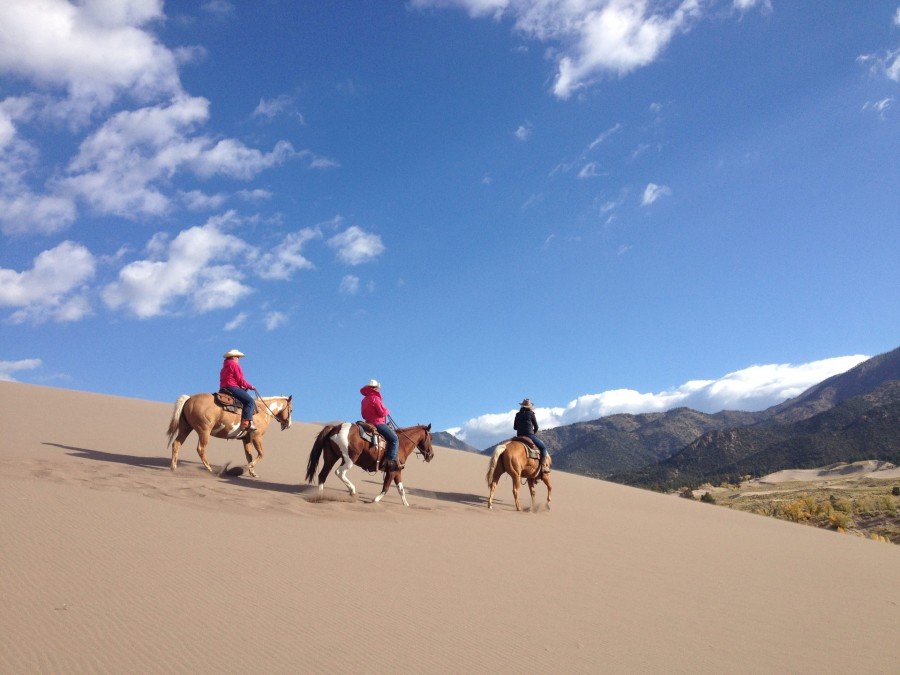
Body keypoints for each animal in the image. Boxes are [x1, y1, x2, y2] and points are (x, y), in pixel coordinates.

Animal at [304, 422, 434, 508]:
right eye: (431, 438)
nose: (431, 455)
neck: (401, 444)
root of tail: (335, 427)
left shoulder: (397, 471)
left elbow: (400, 489)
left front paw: (406, 504)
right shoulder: (392, 470)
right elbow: (386, 487)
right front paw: (375, 500)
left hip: (330, 458)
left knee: (322, 475)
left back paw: (320, 496)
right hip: (349, 459)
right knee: (339, 472)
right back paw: (352, 491)